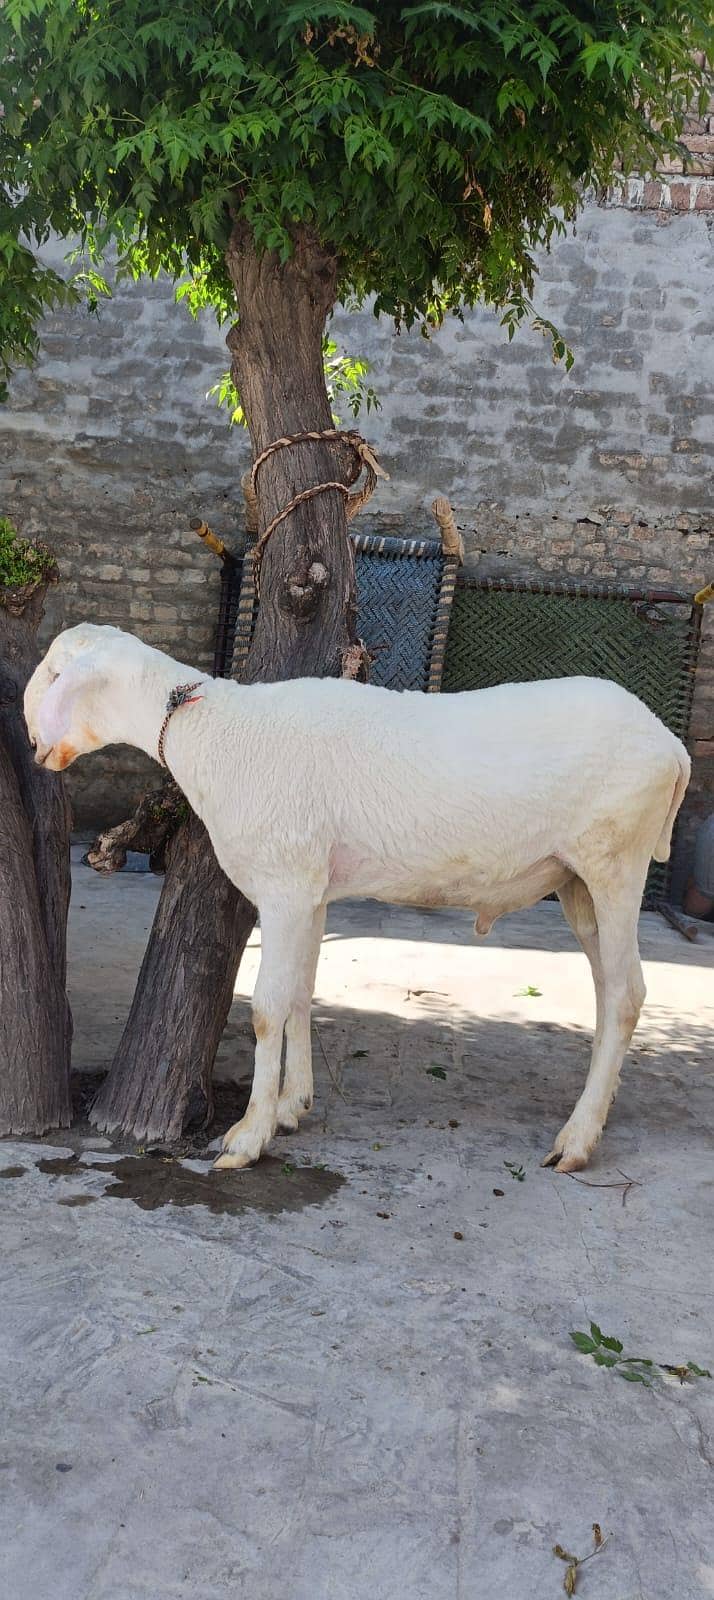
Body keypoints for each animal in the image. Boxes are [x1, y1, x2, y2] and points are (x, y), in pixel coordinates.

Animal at [25, 622, 690, 1174]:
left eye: (57, 674)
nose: (32, 739)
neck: (211, 734)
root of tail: (671, 745)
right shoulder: (310, 888)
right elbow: (300, 992)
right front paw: (292, 1105)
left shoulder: (284, 884)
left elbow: (266, 1008)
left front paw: (247, 1138)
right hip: (578, 882)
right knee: (609, 991)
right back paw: (596, 1111)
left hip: (615, 862)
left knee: (626, 994)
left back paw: (576, 1141)